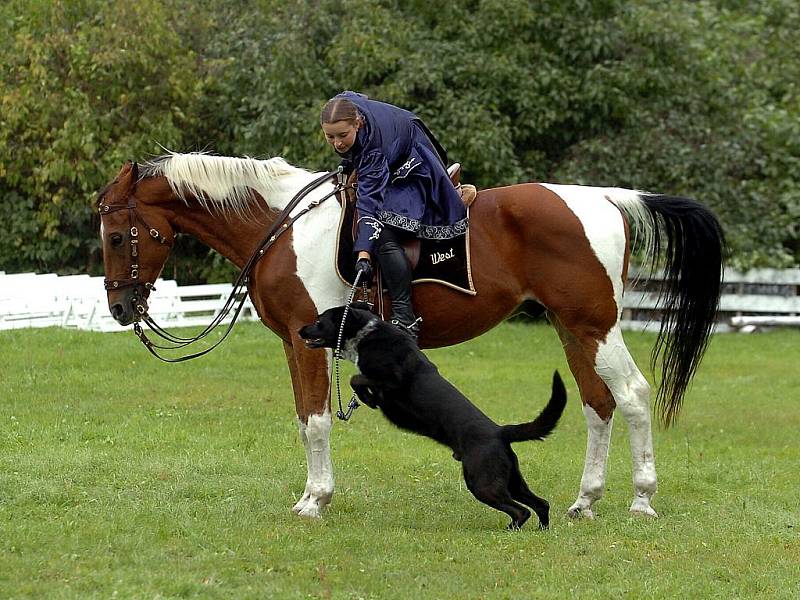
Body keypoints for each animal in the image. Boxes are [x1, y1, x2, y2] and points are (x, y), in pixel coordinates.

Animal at [296, 304, 564, 528]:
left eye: (319, 321)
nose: (299, 330)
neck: (366, 334)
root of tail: (499, 431)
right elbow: (358, 378)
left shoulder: (393, 380)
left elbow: (357, 378)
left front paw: (369, 399)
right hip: (511, 480)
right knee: (541, 504)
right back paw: (541, 530)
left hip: (482, 482)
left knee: (521, 511)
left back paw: (512, 529)